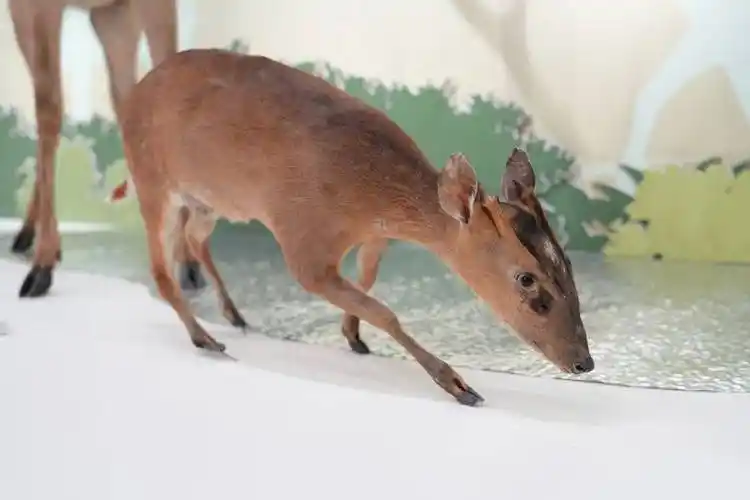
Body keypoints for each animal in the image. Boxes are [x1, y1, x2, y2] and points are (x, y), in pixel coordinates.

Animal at [7, 0, 206, 299]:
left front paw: (189, 264)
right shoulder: (39, 7)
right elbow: (48, 107)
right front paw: (41, 268)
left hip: (112, 17)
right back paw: (32, 238)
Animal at [111, 48, 595, 406]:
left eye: (567, 263)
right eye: (526, 278)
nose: (584, 363)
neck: (366, 194)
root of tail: (132, 96)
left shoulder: (374, 236)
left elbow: (368, 278)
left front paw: (353, 335)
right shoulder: (304, 247)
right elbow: (382, 309)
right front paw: (457, 385)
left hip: (207, 200)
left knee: (195, 240)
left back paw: (235, 314)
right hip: (152, 179)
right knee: (160, 269)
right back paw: (206, 338)